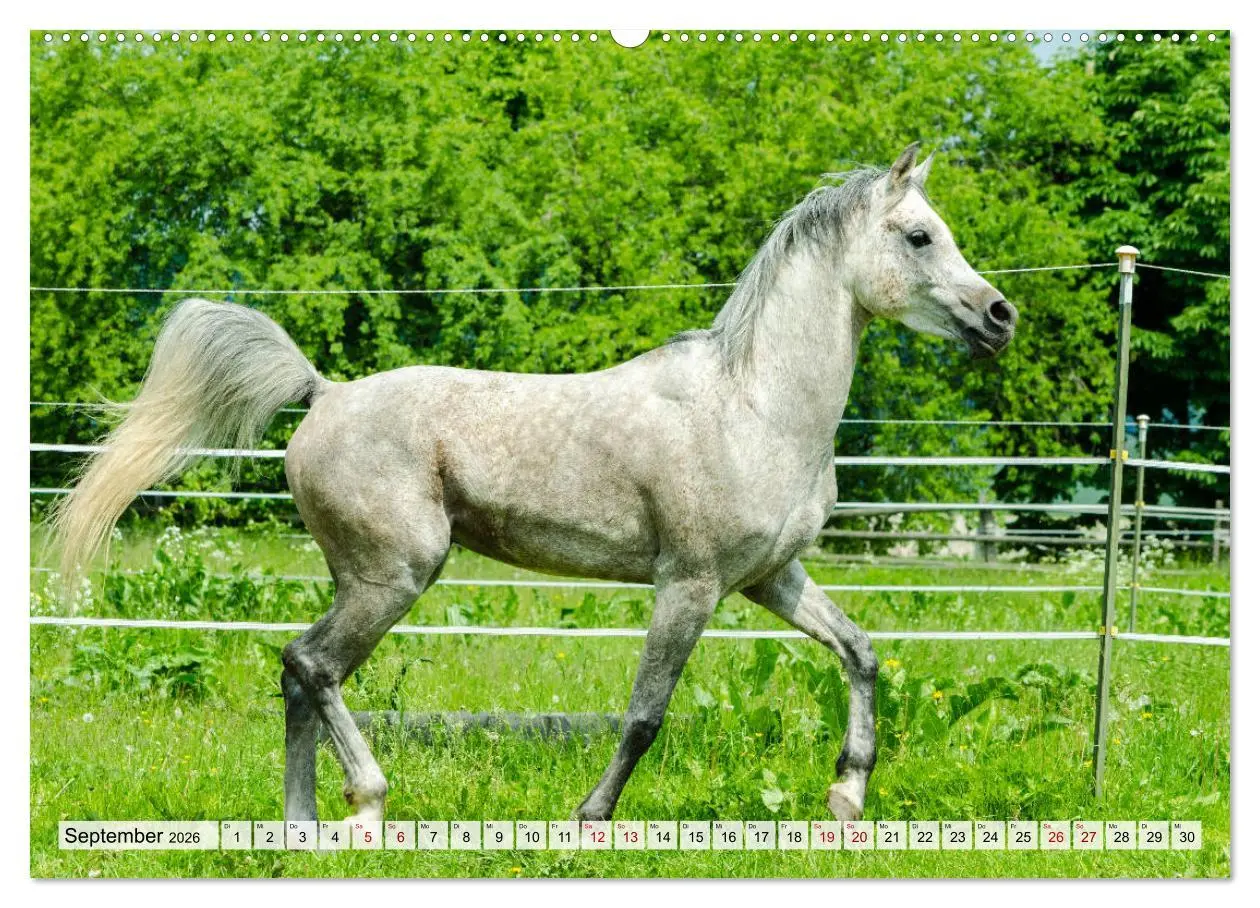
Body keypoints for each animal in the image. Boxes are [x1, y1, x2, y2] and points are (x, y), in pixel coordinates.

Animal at [52, 143, 1016, 824]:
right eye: (920, 235)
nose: (1000, 316)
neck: (754, 403)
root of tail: (324, 393)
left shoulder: (771, 580)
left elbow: (861, 652)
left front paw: (847, 798)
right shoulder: (691, 584)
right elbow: (645, 714)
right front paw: (591, 816)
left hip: (364, 578)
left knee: (298, 674)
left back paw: (308, 826)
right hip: (393, 575)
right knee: (310, 664)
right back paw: (367, 802)